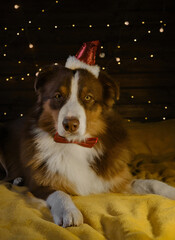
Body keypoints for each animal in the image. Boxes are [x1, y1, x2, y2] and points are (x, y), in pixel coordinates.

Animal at [0, 58, 175, 227]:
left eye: (88, 97)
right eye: (58, 96)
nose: (70, 125)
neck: (76, 144)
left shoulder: (116, 180)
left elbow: (152, 183)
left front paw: (171, 191)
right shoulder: (39, 185)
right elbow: (59, 193)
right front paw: (68, 211)